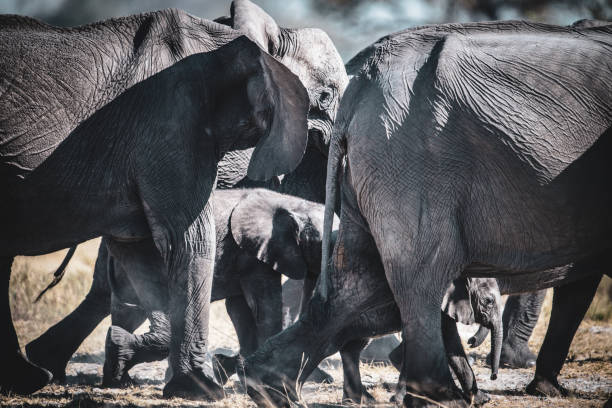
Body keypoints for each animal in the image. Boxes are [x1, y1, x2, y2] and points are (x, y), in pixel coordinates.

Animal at [240, 20, 612, 406]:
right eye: (485, 301)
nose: (493, 372)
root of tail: (358, 87)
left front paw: (545, 390)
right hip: (412, 160)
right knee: (419, 277)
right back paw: (440, 397)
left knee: (358, 280)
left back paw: (269, 387)